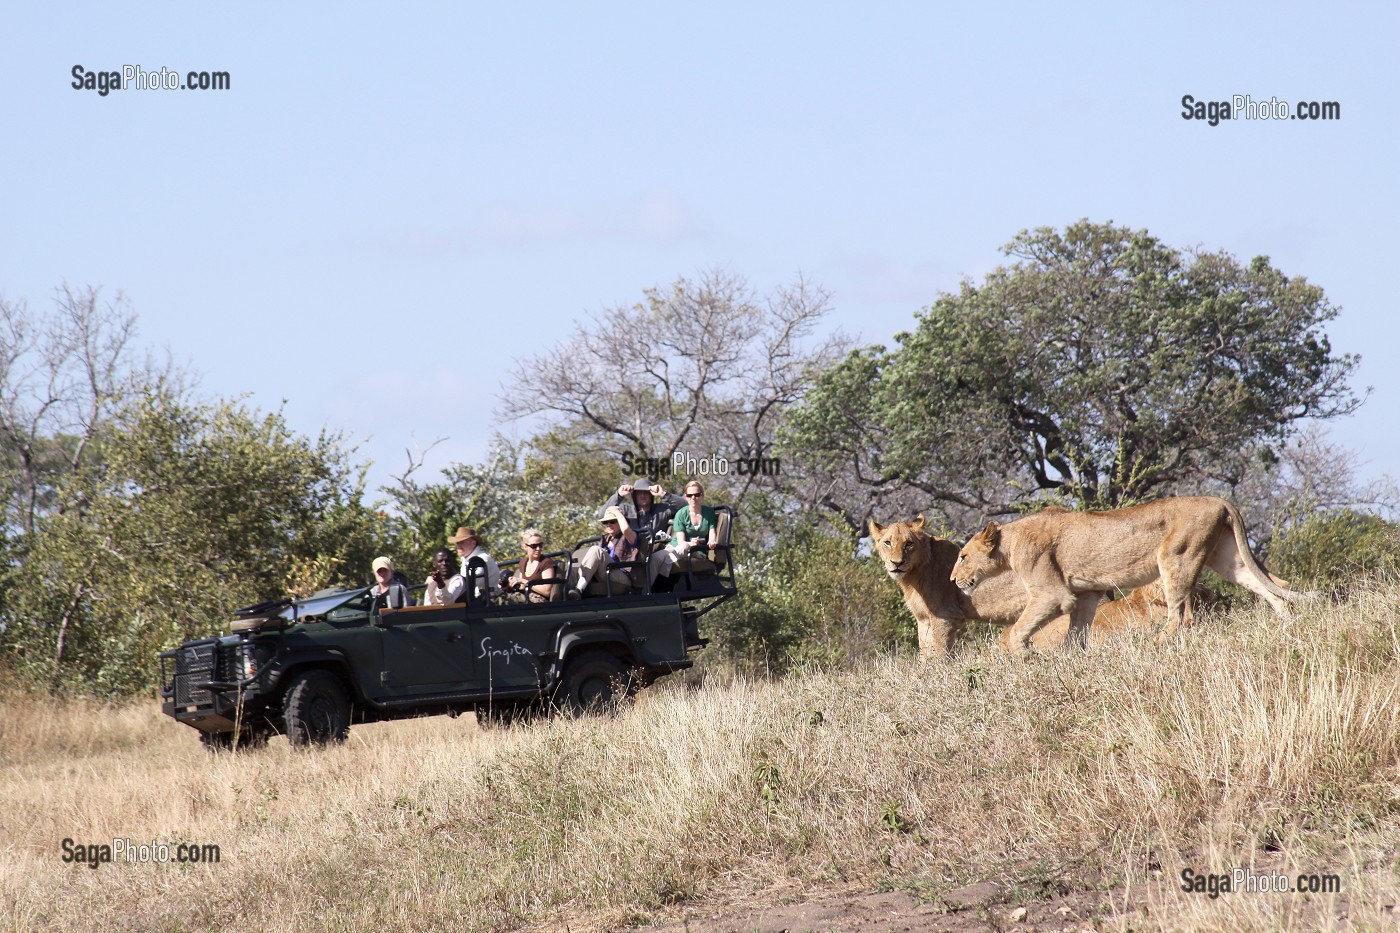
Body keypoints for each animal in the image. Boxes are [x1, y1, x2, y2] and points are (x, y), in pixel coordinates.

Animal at [868, 514, 1165, 657]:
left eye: (908, 544)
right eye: (887, 543)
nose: (896, 563)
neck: (913, 576)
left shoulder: (945, 618)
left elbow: (939, 655)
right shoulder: (923, 620)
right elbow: (924, 653)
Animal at [951, 496, 1303, 651]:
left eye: (963, 556)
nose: (953, 580)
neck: (1010, 543)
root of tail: (1218, 499)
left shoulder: (1053, 594)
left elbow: (1021, 628)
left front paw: (1024, 655)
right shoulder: (1086, 593)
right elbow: (1076, 633)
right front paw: (1071, 659)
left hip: (1175, 556)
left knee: (1180, 617)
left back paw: (1151, 644)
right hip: (1227, 557)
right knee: (1273, 586)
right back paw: (1289, 626)